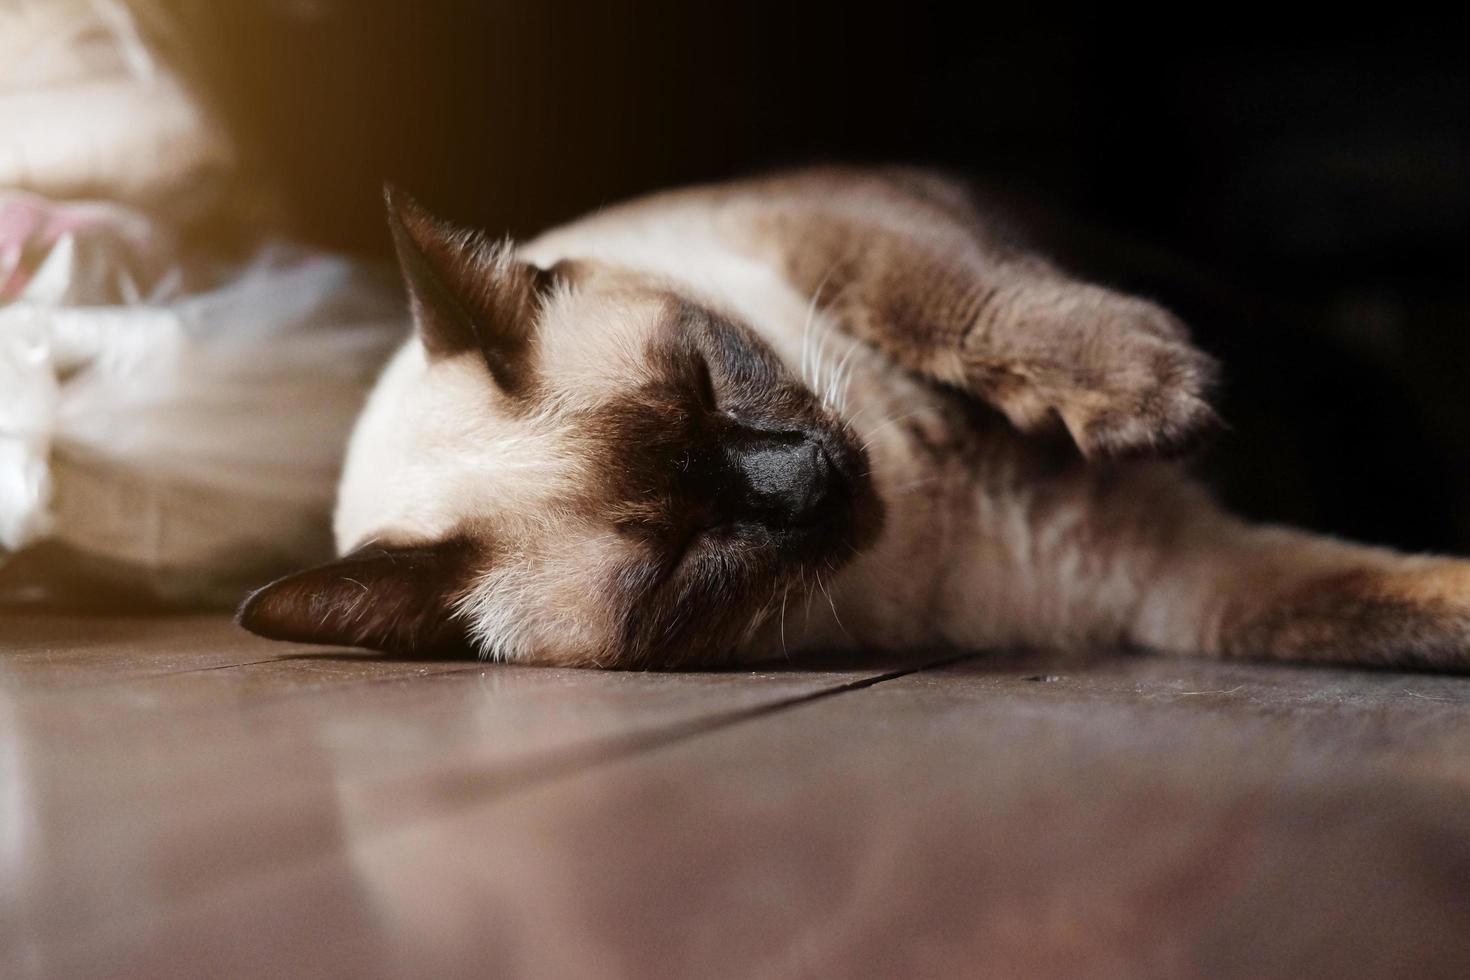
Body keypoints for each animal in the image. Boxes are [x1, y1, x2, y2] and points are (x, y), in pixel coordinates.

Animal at [235, 170, 1464, 675]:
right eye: (682, 556)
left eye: (707, 380)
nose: (811, 479)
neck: (928, 495)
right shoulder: (1184, 580)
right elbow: (1402, 603)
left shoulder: (848, 229)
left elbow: (954, 298)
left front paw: (1156, 394)